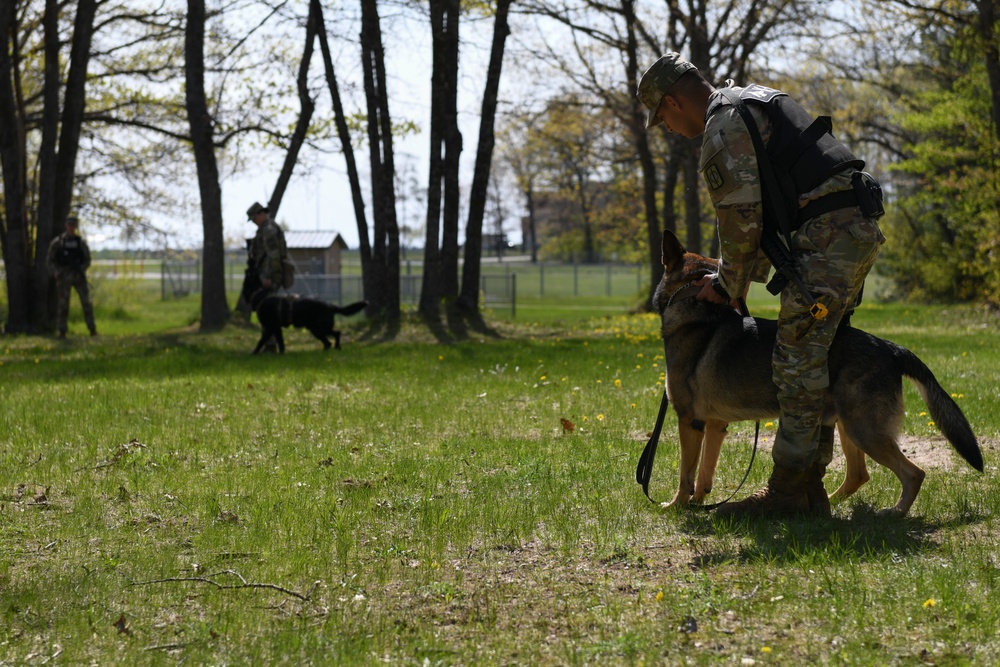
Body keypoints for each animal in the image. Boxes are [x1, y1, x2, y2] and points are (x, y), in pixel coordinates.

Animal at [648, 230, 984, 516]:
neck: (692, 304)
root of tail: (889, 347)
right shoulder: (715, 425)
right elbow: (704, 474)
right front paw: (697, 503)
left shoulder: (689, 421)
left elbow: (686, 474)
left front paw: (676, 507)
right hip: (847, 426)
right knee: (858, 476)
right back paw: (824, 505)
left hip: (865, 431)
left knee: (914, 473)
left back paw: (896, 512)